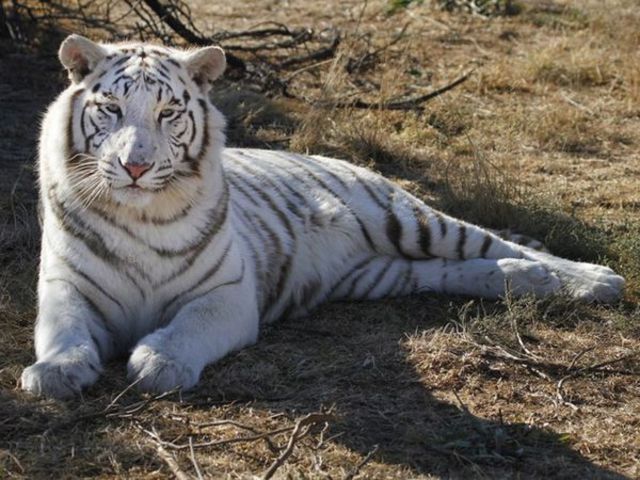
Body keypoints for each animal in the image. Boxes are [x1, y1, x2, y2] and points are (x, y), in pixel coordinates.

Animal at [21, 35, 625, 399]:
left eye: (169, 112)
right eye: (111, 109)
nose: (136, 166)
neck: (141, 214)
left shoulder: (228, 295)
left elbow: (189, 325)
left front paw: (158, 362)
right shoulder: (65, 285)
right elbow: (62, 329)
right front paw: (55, 372)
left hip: (407, 217)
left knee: (497, 244)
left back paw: (594, 280)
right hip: (380, 272)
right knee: (454, 270)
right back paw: (527, 280)